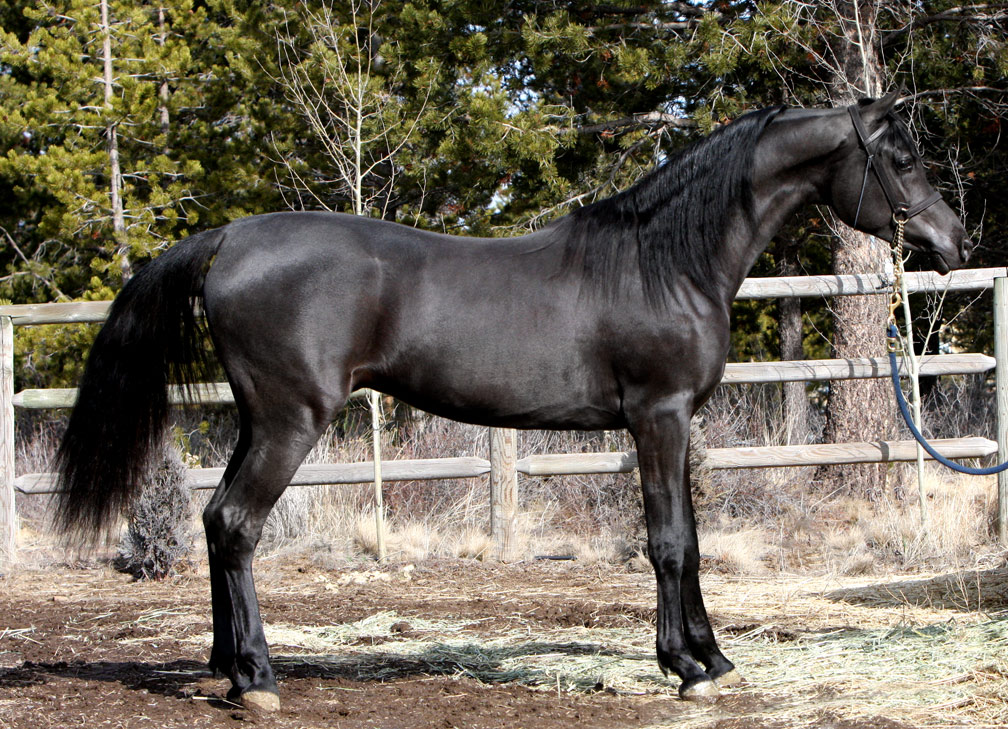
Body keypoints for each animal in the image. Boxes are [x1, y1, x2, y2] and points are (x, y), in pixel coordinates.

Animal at [52, 92, 970, 711]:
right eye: (903, 160)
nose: (953, 241)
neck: (664, 261)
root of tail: (232, 237)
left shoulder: (672, 422)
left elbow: (692, 539)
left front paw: (711, 658)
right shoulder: (659, 416)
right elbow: (670, 541)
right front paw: (685, 667)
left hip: (258, 420)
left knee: (214, 521)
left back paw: (223, 666)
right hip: (290, 422)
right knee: (240, 524)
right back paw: (259, 679)